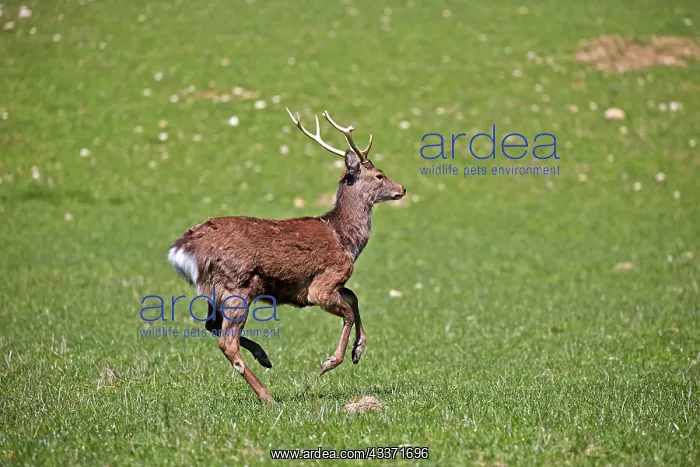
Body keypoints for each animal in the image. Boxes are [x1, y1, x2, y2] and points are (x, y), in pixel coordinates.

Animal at [167, 108, 406, 403]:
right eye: (380, 175)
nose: (403, 189)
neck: (344, 239)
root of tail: (182, 249)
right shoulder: (323, 283)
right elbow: (349, 311)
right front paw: (328, 363)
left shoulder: (330, 284)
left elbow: (354, 298)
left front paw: (358, 351)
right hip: (237, 286)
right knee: (226, 341)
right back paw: (266, 395)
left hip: (213, 291)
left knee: (211, 326)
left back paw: (264, 357)